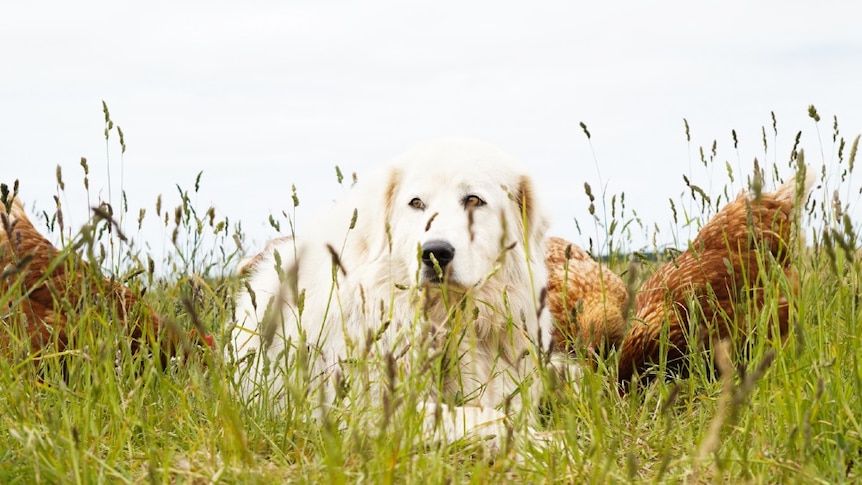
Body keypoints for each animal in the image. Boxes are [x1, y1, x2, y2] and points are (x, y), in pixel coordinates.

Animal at [228, 138, 552, 444]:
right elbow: (485, 417)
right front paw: (544, 443)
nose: (435, 252)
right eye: (416, 203)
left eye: (474, 200)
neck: (442, 317)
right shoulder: (367, 410)